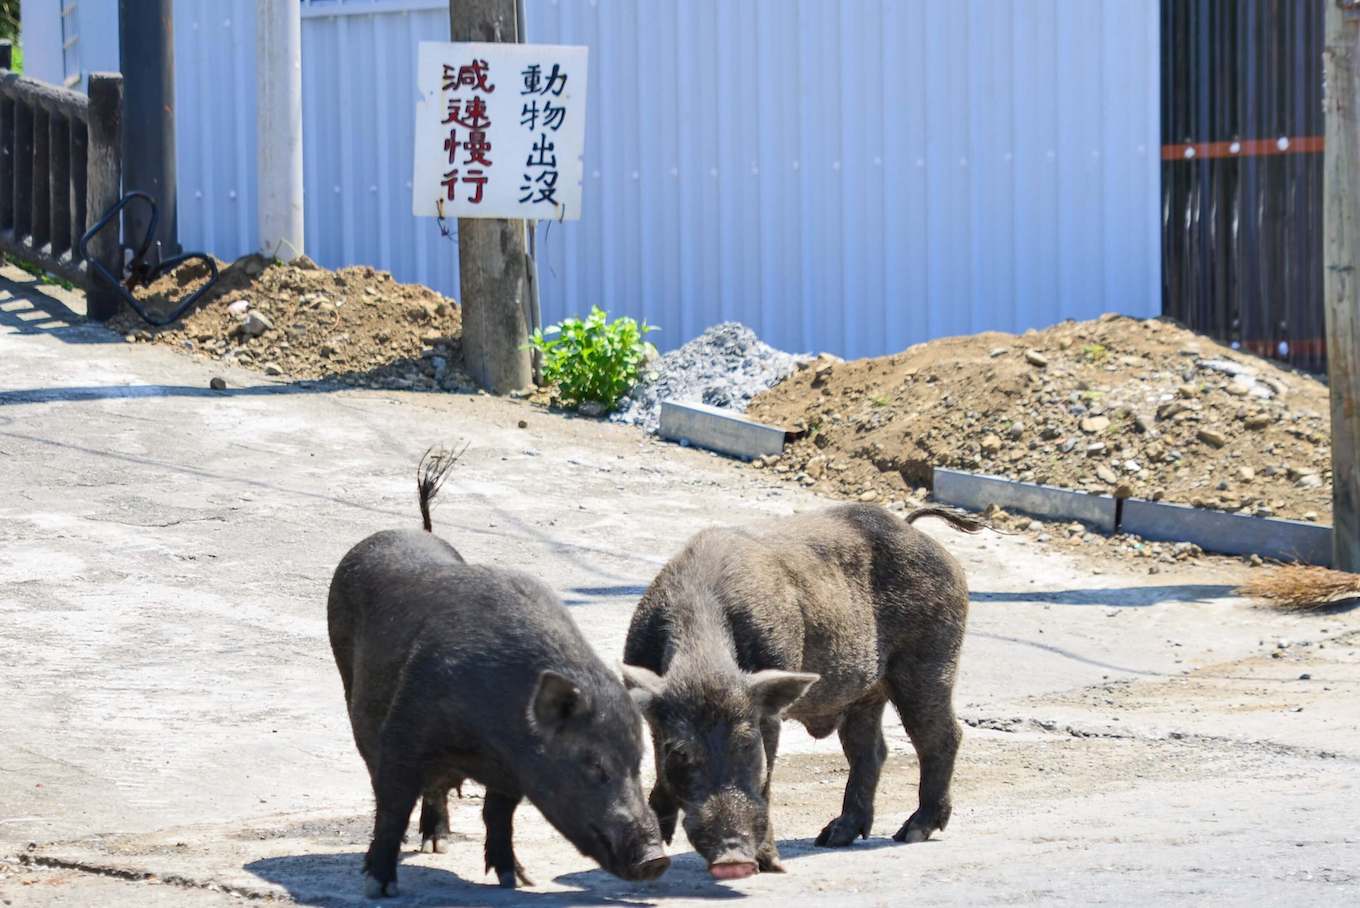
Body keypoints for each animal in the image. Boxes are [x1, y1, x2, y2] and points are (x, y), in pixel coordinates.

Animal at [329, 445, 669, 891]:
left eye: (637, 762)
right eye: (593, 764)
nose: (656, 860)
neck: (487, 738)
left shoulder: (512, 771)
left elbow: (498, 815)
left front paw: (517, 880)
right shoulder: (405, 732)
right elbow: (393, 803)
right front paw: (378, 887)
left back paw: (439, 845)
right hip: (349, 683)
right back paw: (423, 847)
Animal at [622, 502, 984, 880]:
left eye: (747, 744)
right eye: (680, 752)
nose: (733, 862)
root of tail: (917, 532)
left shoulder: (770, 709)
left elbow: (766, 779)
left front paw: (770, 865)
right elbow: (658, 765)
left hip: (932, 659)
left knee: (942, 737)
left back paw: (910, 833)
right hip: (866, 693)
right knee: (871, 750)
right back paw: (832, 837)